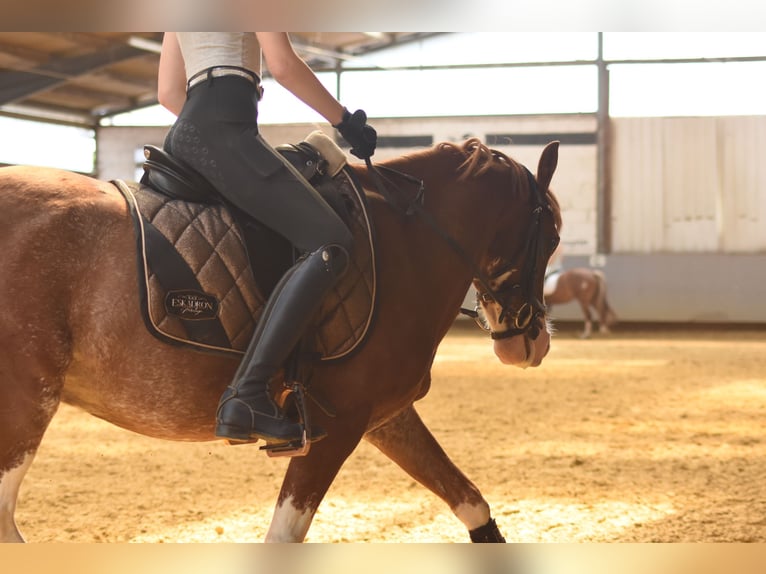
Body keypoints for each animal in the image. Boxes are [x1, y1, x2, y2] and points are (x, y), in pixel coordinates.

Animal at [0, 140, 564, 544]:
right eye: (554, 234)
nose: (529, 344)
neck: (406, 245)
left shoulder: (385, 417)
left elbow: (471, 502)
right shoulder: (337, 427)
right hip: (25, 406)